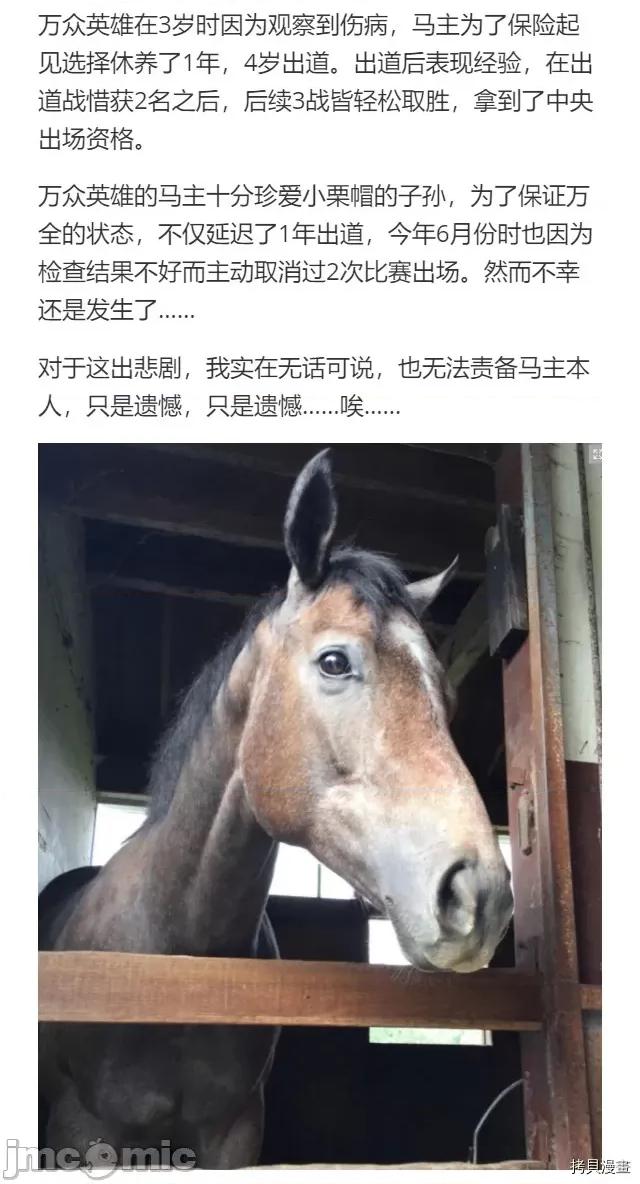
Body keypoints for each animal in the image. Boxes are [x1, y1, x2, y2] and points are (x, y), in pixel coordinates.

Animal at [39, 449, 513, 1168]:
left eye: (447, 694)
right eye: (335, 661)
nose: (478, 894)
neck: (173, 966)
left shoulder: (236, 1133)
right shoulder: (82, 1130)